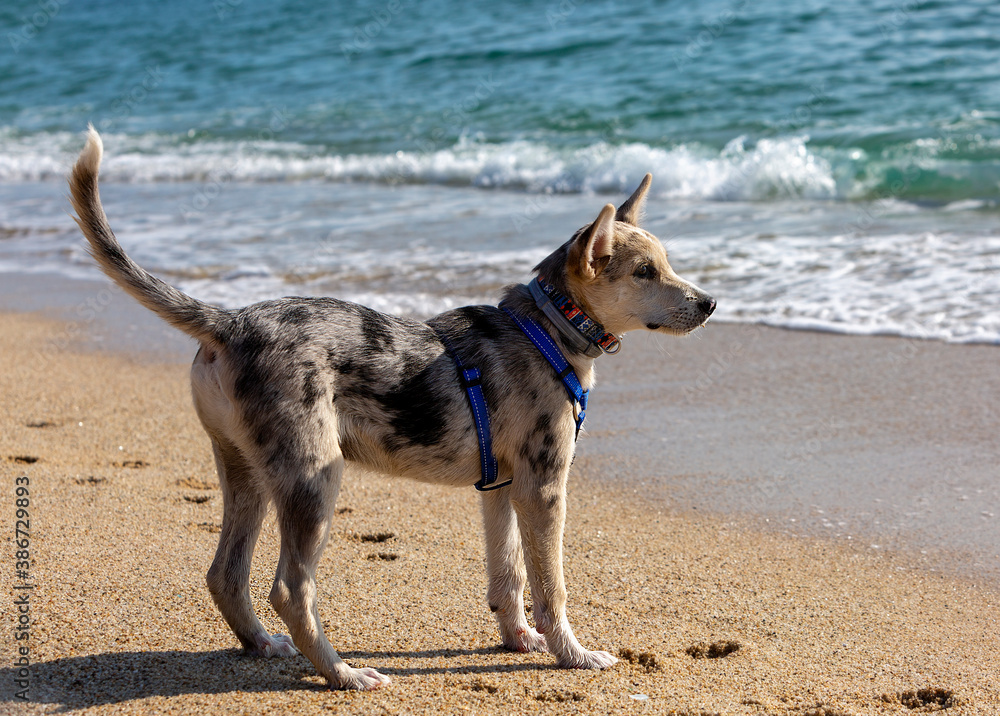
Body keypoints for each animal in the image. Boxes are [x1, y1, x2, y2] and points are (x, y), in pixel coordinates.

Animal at [66, 126, 716, 692]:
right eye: (645, 272)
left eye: (666, 264)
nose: (710, 303)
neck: (549, 330)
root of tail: (230, 323)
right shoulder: (544, 486)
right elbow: (550, 586)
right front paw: (572, 655)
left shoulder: (503, 487)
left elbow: (508, 575)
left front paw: (520, 640)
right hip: (313, 475)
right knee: (290, 589)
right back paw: (343, 675)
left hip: (245, 469)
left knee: (225, 574)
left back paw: (264, 644)